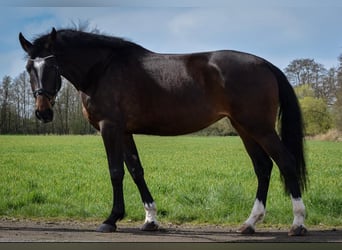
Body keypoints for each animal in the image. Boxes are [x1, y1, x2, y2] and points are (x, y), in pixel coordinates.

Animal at [18, 28, 308, 235]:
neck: (103, 69)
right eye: (30, 68)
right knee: (263, 167)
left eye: (53, 66)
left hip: (259, 127)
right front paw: (150, 219)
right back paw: (250, 223)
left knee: (285, 162)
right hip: (244, 127)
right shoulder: (124, 131)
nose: (42, 112)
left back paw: (297, 223)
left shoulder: (109, 127)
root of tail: (265, 64)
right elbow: (136, 170)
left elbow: (116, 171)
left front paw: (111, 219)